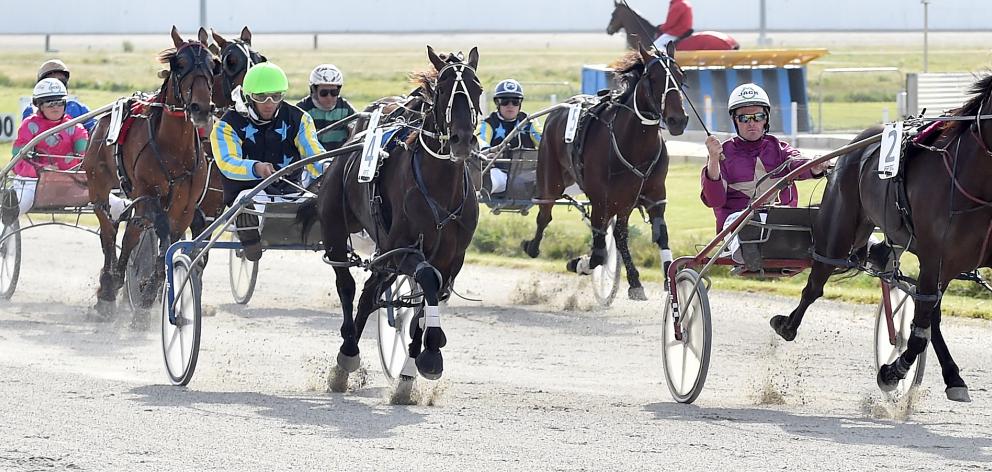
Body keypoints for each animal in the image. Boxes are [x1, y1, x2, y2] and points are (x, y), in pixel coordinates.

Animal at [84, 26, 215, 320]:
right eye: (179, 64)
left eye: (213, 63)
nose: (201, 108)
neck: (173, 148)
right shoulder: (147, 195)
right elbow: (160, 235)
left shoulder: (185, 208)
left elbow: (168, 244)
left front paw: (149, 298)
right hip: (98, 185)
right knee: (109, 230)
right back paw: (108, 287)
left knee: (131, 231)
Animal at [298, 46, 480, 382]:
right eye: (442, 89)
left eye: (478, 89)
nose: (462, 140)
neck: (440, 189)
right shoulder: (400, 250)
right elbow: (427, 280)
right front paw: (431, 351)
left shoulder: (452, 258)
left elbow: (432, 292)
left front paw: (418, 356)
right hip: (336, 226)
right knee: (349, 286)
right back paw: (348, 353)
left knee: (371, 292)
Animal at [520, 46, 688, 300]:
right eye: (653, 77)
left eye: (681, 76)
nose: (678, 119)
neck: (634, 145)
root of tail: (563, 107)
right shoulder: (602, 200)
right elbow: (598, 253)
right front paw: (578, 263)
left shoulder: (654, 195)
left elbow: (660, 235)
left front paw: (668, 280)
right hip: (551, 178)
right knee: (544, 215)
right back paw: (532, 246)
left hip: (624, 202)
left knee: (619, 235)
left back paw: (634, 280)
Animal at [768, 74, 992, 402]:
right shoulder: (935, 258)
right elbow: (918, 334)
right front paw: (891, 372)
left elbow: (924, 322)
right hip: (838, 230)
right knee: (815, 283)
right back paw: (786, 325)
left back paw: (953, 377)